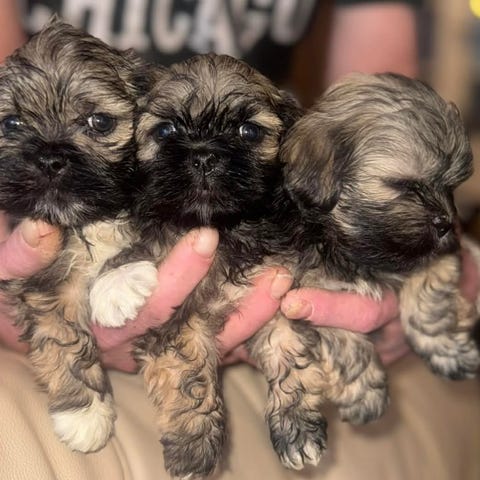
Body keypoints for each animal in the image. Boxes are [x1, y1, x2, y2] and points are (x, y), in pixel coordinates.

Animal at [0, 19, 149, 452]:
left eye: (99, 122)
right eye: (11, 124)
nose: (50, 158)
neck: (86, 217)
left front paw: (117, 284)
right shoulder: (45, 282)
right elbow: (61, 335)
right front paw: (83, 413)